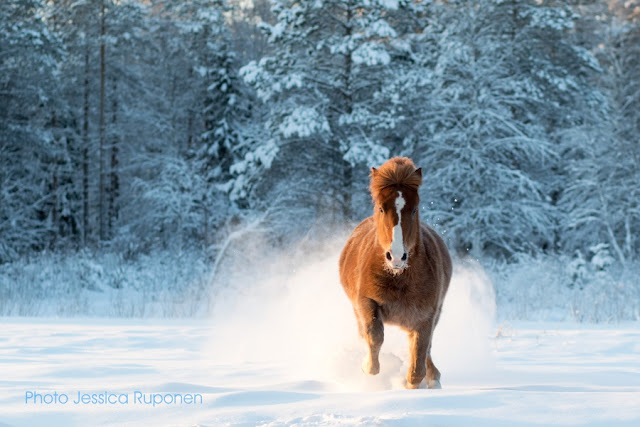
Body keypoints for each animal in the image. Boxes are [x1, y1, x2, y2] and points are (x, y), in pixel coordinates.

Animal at [338, 158, 452, 392]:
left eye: (415, 209)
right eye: (381, 208)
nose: (397, 256)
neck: (398, 277)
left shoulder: (426, 315)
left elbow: (418, 363)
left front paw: (413, 384)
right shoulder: (366, 301)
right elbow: (374, 335)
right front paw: (367, 367)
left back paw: (434, 378)